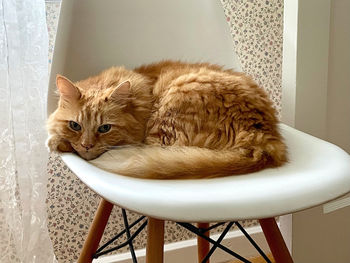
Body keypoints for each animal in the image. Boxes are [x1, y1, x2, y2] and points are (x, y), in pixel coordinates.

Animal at [47, 60, 288, 179]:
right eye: (75, 125)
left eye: (105, 128)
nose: (87, 145)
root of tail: (264, 137)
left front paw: (57, 142)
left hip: (173, 106)